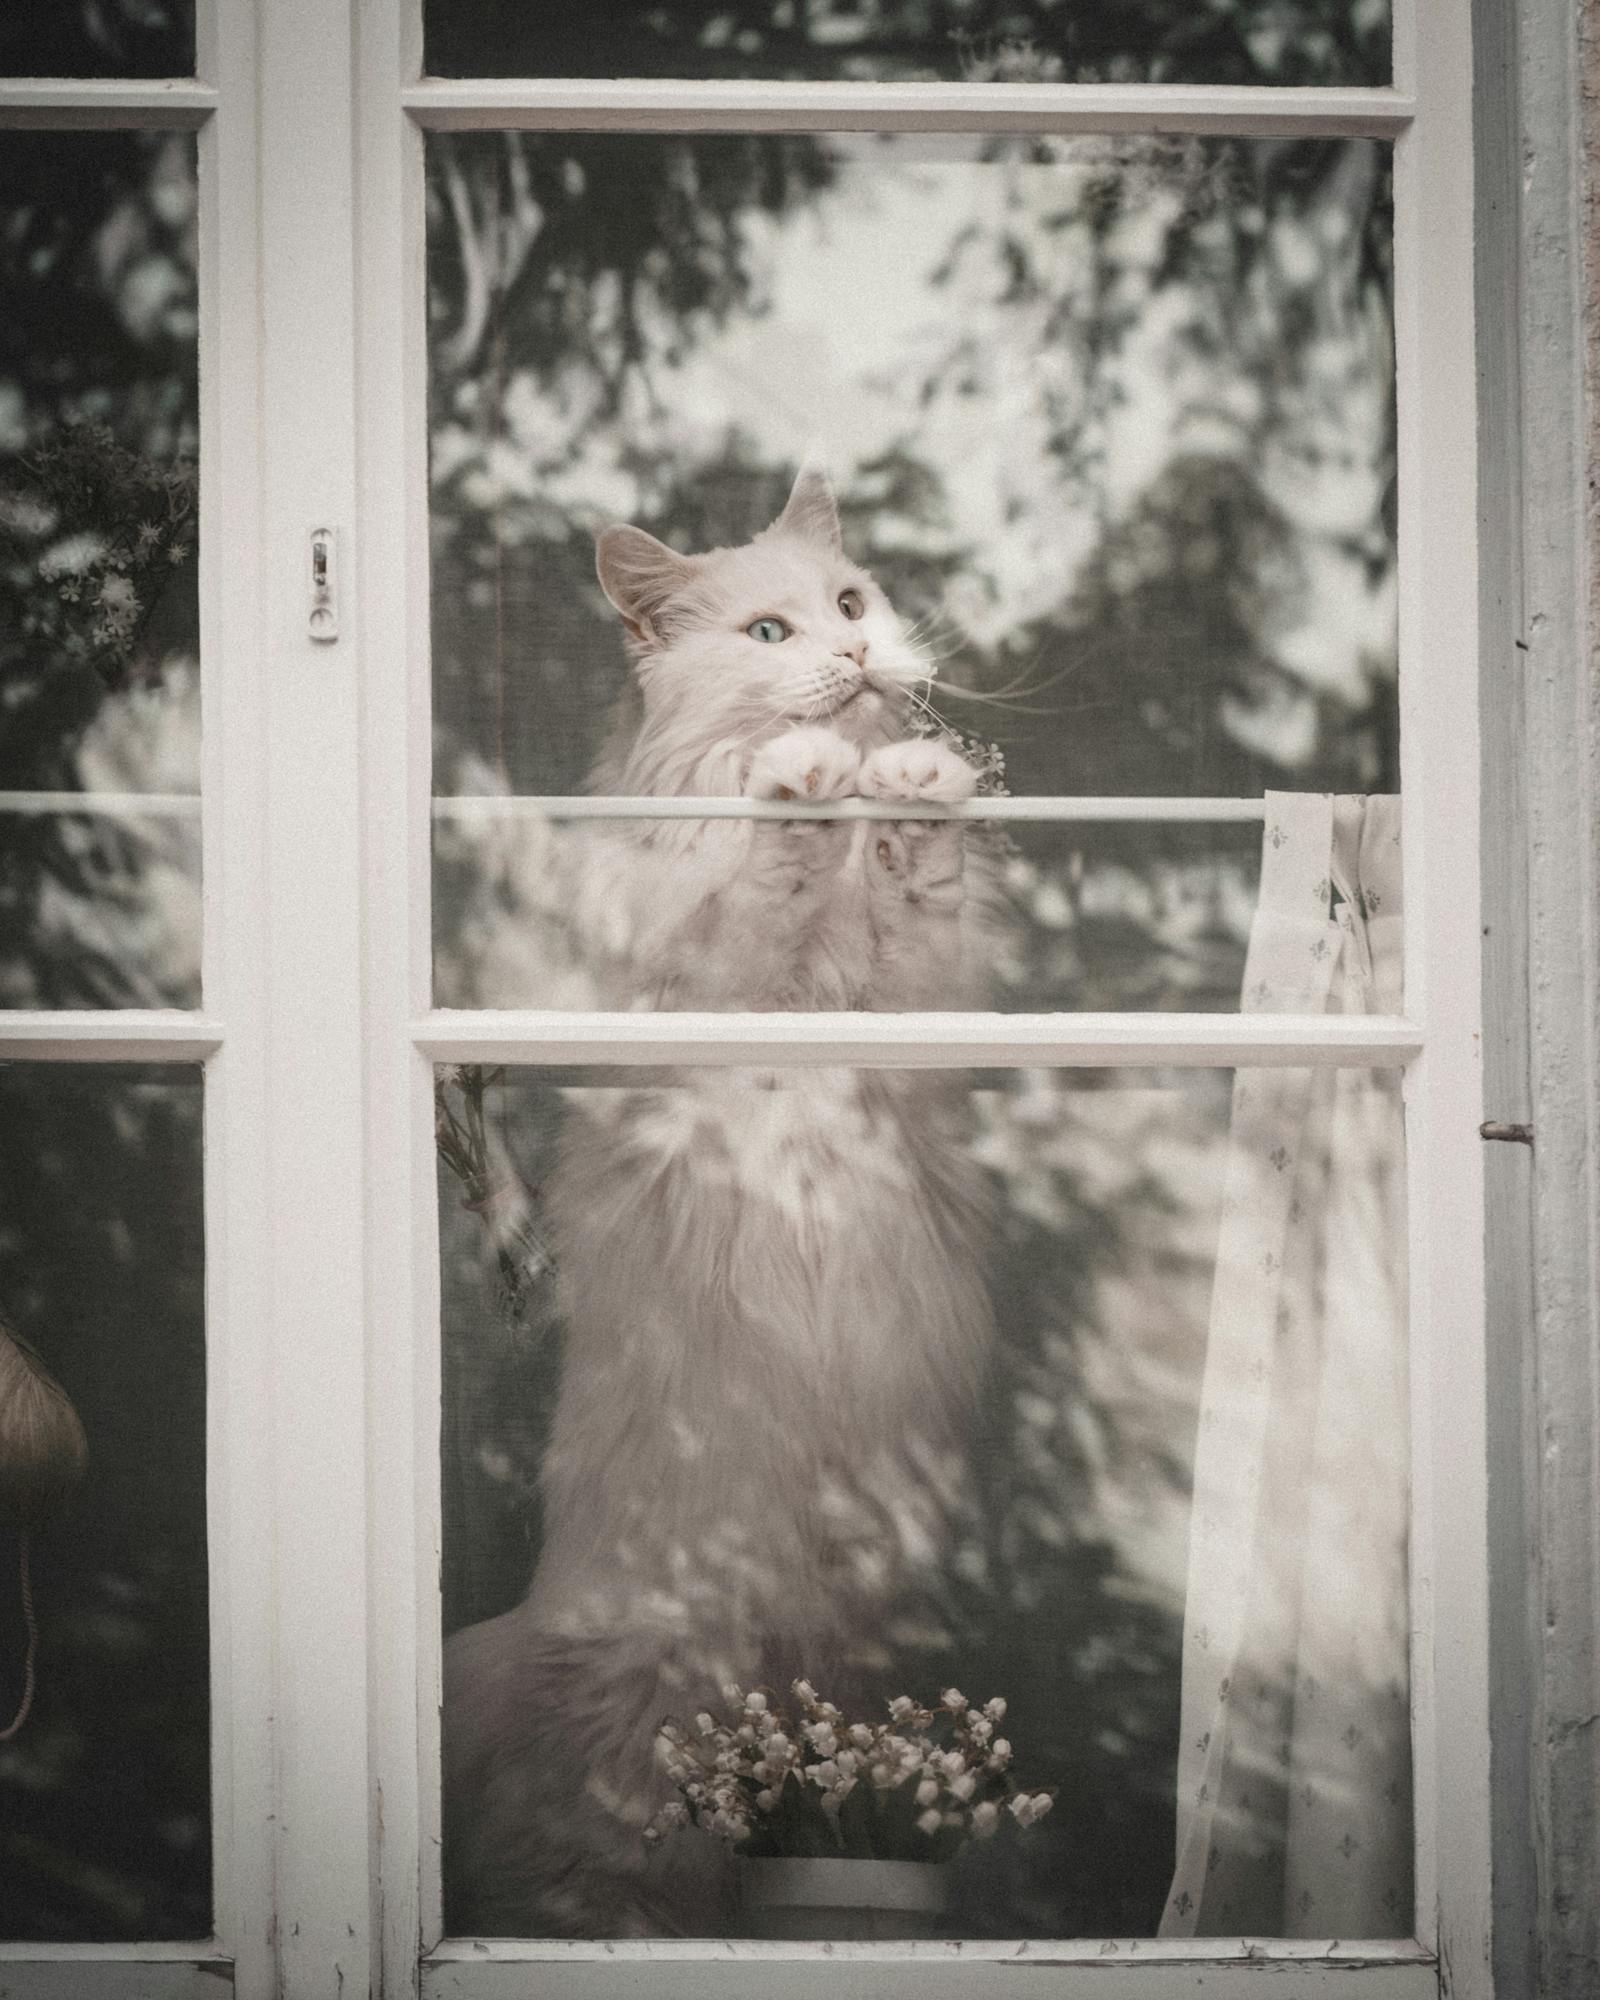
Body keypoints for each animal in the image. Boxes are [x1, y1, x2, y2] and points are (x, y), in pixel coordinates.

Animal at [444, 468, 992, 1936]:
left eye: (852, 603)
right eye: (767, 634)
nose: (853, 653)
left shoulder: (914, 1017)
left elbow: (911, 892)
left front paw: (908, 783)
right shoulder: (717, 990)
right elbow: (764, 884)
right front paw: (801, 782)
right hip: (648, 1739)